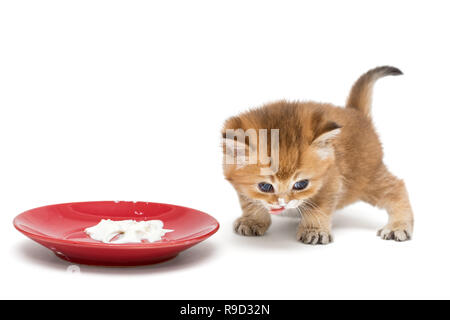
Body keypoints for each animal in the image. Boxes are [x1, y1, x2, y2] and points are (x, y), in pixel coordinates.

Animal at [221, 66, 414, 244]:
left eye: (301, 184)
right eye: (265, 187)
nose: (283, 203)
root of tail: (356, 112)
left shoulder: (331, 181)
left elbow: (318, 207)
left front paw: (314, 230)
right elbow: (249, 201)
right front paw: (252, 221)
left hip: (366, 178)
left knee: (397, 187)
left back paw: (398, 226)